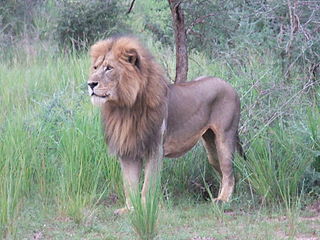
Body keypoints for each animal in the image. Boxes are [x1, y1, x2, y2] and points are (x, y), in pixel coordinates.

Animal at [87, 36, 245, 215]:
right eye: (95, 67)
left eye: (109, 68)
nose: (90, 84)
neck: (123, 107)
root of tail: (229, 86)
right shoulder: (128, 151)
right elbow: (129, 185)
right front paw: (129, 209)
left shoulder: (155, 149)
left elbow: (148, 185)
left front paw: (145, 209)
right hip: (211, 146)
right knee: (225, 172)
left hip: (225, 137)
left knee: (229, 172)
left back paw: (223, 200)